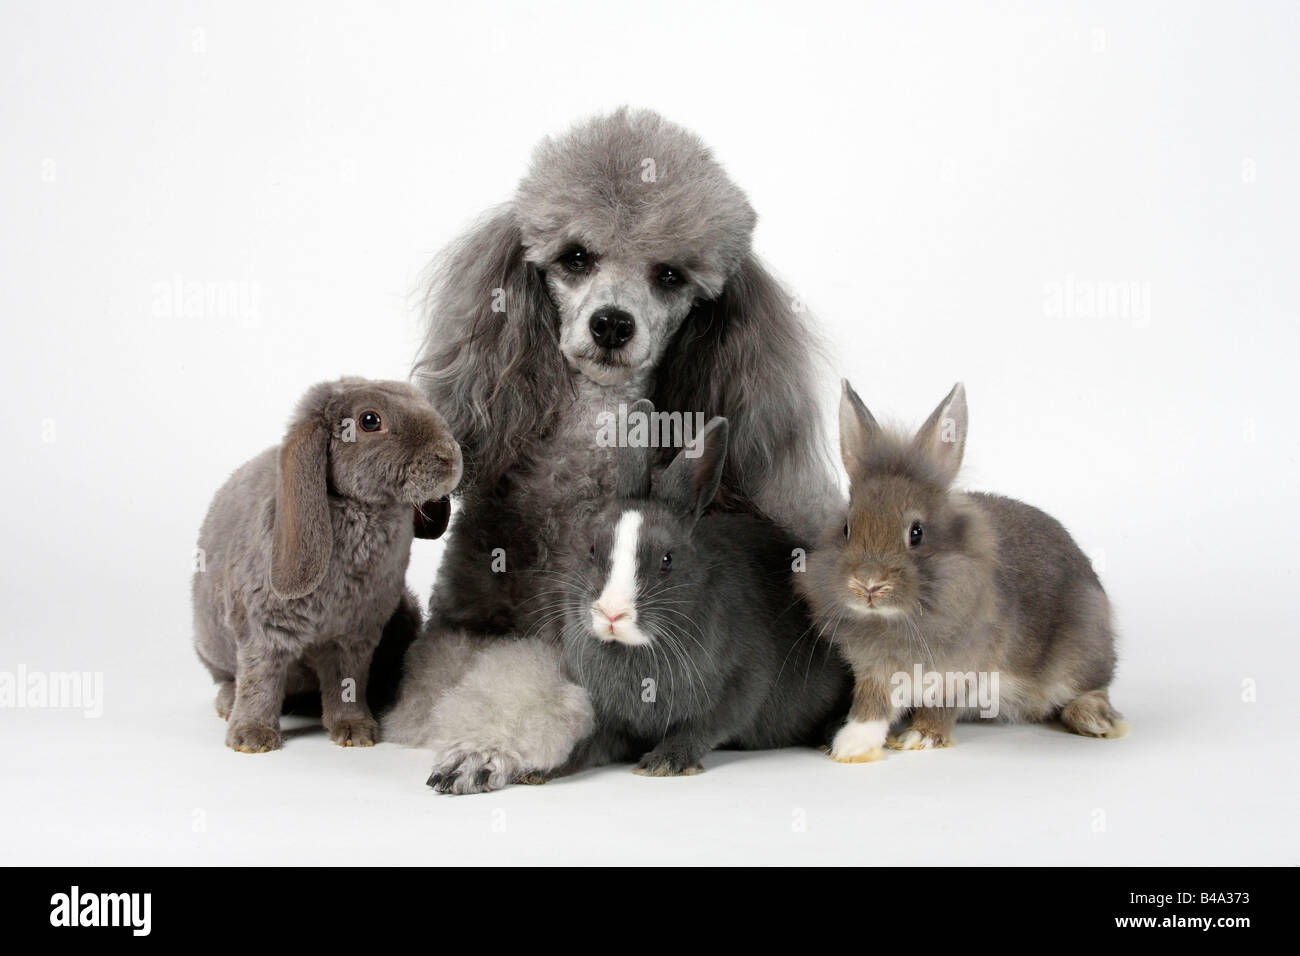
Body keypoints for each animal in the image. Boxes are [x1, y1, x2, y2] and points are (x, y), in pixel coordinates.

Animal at [192, 377, 462, 753]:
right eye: (369, 420)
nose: (449, 456)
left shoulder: (354, 637)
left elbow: (346, 683)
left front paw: (356, 731)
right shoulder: (263, 630)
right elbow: (260, 679)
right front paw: (251, 737)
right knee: (230, 678)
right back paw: (227, 703)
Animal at [533, 399, 851, 781]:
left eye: (667, 560)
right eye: (592, 549)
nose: (611, 613)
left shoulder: (740, 687)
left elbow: (702, 728)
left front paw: (663, 762)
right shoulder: (611, 719)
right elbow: (589, 744)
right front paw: (542, 770)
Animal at [796, 380, 1126, 764]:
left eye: (917, 533)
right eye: (847, 528)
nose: (868, 585)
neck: (898, 618)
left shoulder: (962, 667)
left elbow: (942, 705)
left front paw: (920, 737)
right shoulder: (876, 671)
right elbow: (871, 706)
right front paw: (849, 747)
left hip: (1082, 648)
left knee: (1092, 686)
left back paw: (1095, 720)